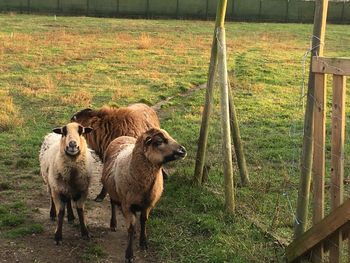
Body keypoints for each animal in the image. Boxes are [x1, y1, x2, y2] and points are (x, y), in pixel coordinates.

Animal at [101, 128, 187, 262]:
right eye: (159, 141)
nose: (183, 150)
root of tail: (123, 136)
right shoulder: (127, 205)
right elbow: (130, 228)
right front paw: (129, 254)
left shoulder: (148, 205)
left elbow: (143, 221)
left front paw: (143, 242)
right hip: (113, 190)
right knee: (113, 203)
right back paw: (113, 224)